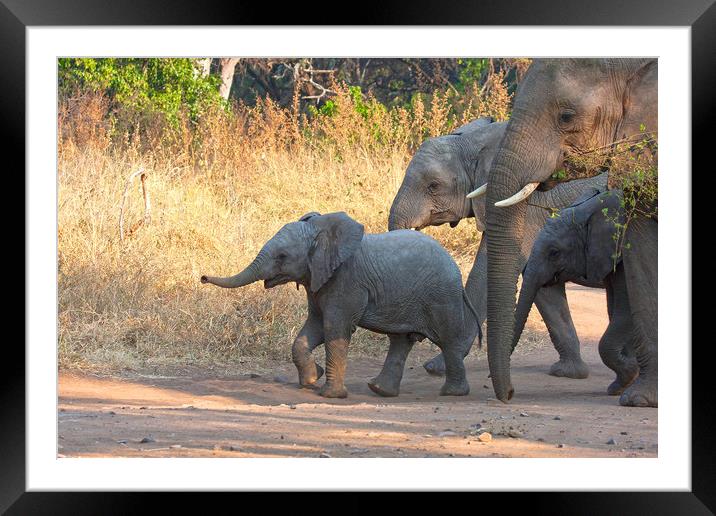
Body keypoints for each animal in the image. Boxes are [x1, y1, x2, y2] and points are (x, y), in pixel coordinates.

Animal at [201, 212, 482, 398]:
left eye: (282, 256)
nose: (202, 278)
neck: (321, 232)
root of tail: (455, 269)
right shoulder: (318, 281)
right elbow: (312, 328)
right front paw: (312, 379)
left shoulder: (347, 282)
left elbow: (334, 328)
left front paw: (329, 395)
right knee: (401, 340)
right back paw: (379, 390)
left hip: (441, 296)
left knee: (447, 340)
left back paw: (453, 393)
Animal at [388, 117, 608, 378]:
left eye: (433, 186)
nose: (417, 336)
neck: (476, 141)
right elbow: (540, 283)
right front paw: (569, 372)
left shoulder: (527, 206)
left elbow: (488, 271)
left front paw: (436, 367)